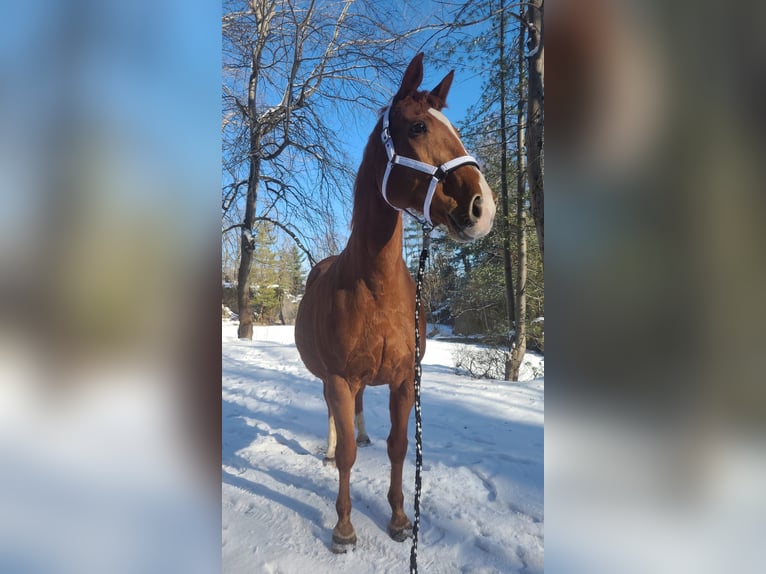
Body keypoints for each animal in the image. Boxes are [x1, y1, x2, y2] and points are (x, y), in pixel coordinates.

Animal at [294, 52, 496, 553]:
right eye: (418, 127)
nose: (483, 207)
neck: (376, 287)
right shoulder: (339, 378)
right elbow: (347, 454)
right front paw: (344, 528)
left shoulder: (406, 380)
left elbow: (399, 447)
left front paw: (402, 519)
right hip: (330, 378)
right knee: (335, 420)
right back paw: (330, 450)